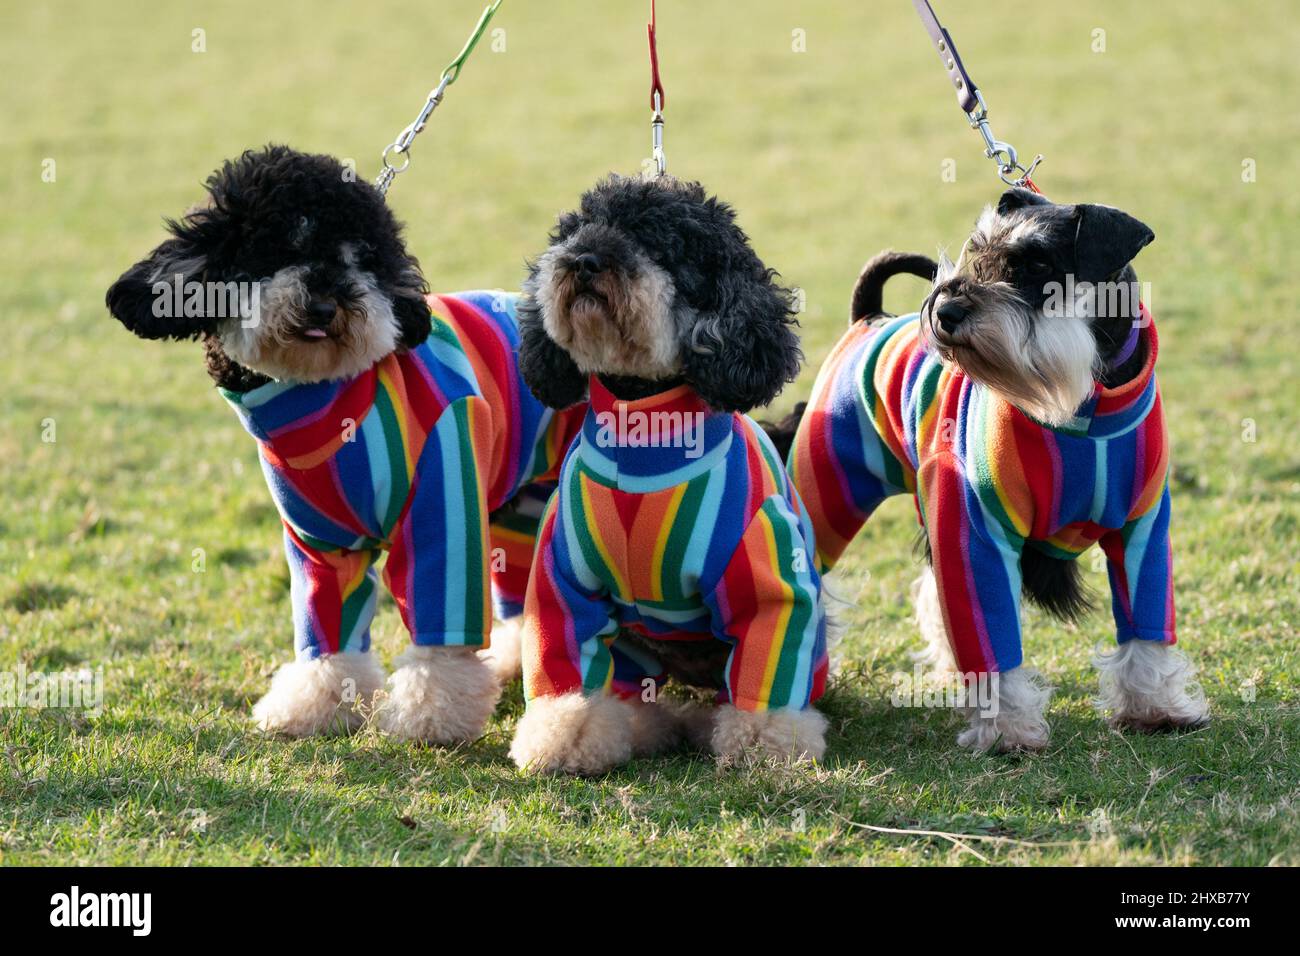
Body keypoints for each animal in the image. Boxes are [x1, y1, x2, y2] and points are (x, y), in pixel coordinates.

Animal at [106, 145, 585, 743]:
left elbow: (440, 627)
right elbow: (327, 630)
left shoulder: (444, 506)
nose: (325, 303)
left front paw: (432, 714)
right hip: (519, 510)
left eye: (361, 258)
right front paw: (316, 705)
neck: (326, 401)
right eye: (276, 248)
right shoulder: (317, 540)